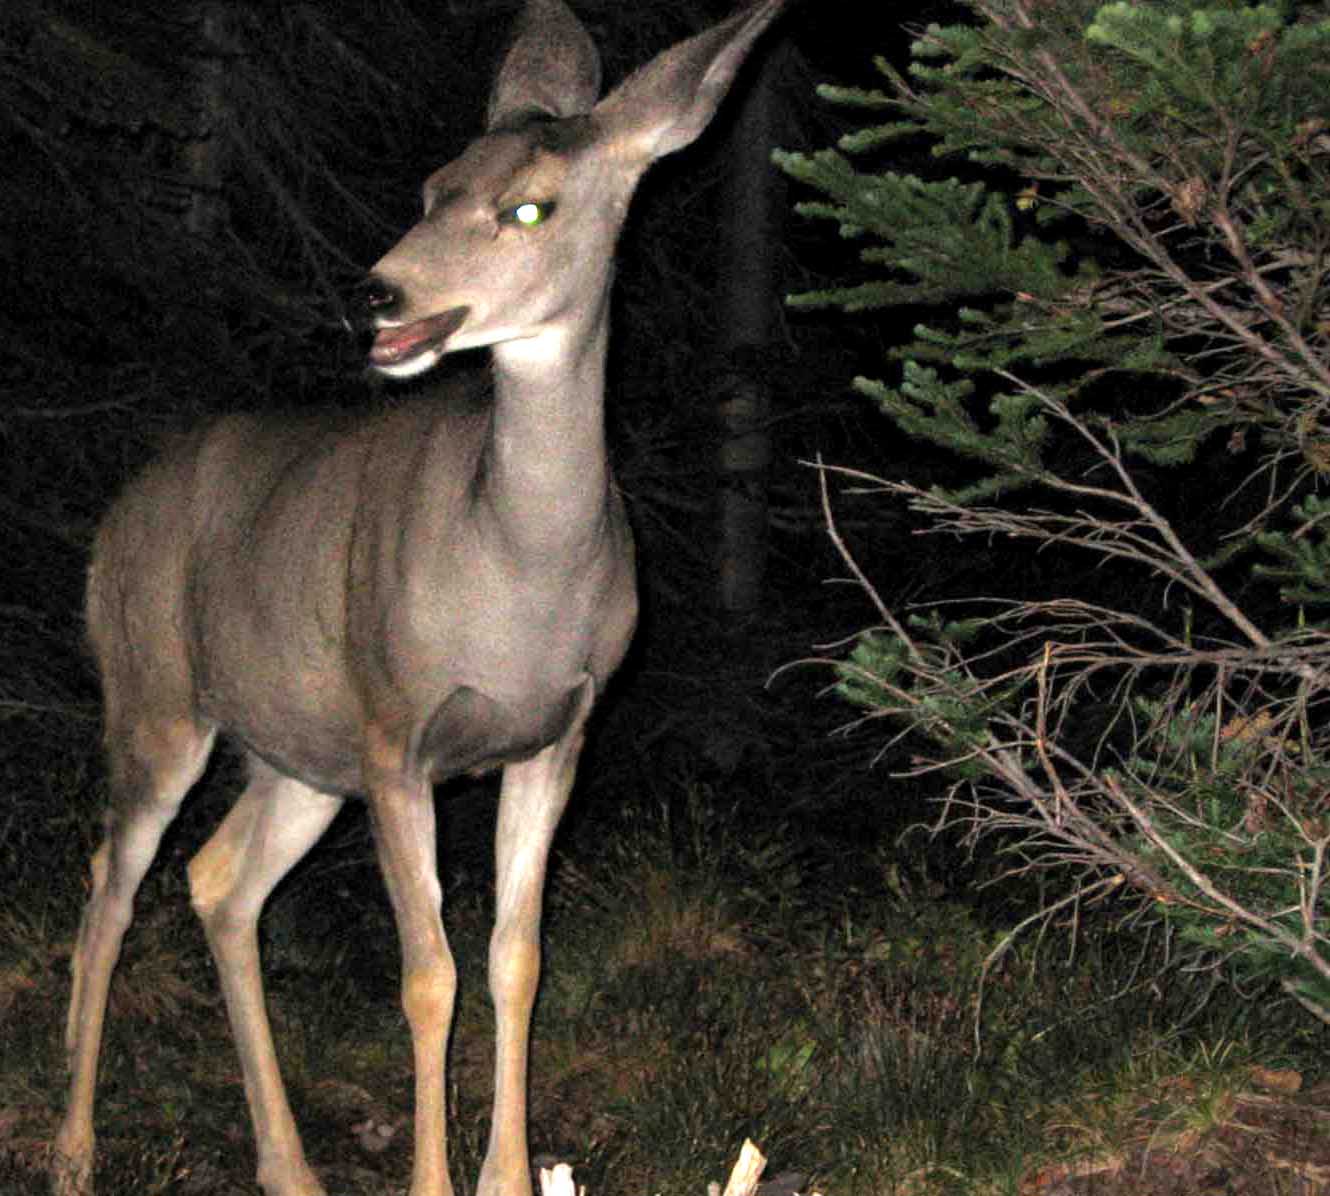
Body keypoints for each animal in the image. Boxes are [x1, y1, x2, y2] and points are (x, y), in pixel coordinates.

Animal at [51, 2, 782, 1196]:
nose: (377, 291)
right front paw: (437, 1179)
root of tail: (118, 514)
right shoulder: (399, 726)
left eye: (527, 206)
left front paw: (508, 1174)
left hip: (303, 754)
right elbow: (427, 974)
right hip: (157, 690)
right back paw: (74, 1147)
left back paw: (288, 1165)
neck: (519, 569)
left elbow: (517, 959)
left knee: (219, 880)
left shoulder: (560, 733)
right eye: (433, 185)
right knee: (110, 881)